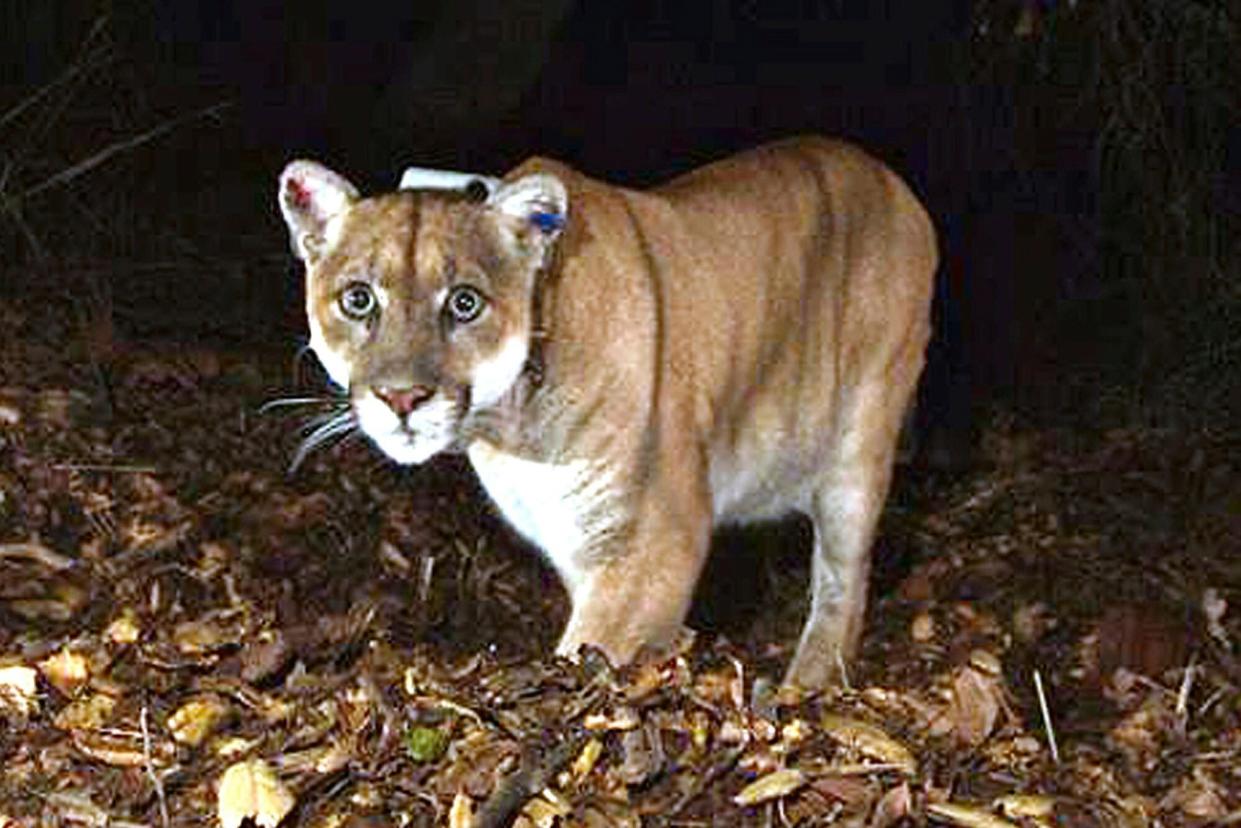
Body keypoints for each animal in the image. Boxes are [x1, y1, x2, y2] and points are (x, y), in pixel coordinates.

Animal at [276, 139, 933, 690]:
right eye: (358, 298)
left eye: (464, 303)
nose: (403, 398)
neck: (511, 429)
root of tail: (890, 178)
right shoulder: (576, 540)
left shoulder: (655, 542)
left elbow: (592, 649)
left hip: (860, 444)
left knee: (844, 582)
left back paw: (808, 682)